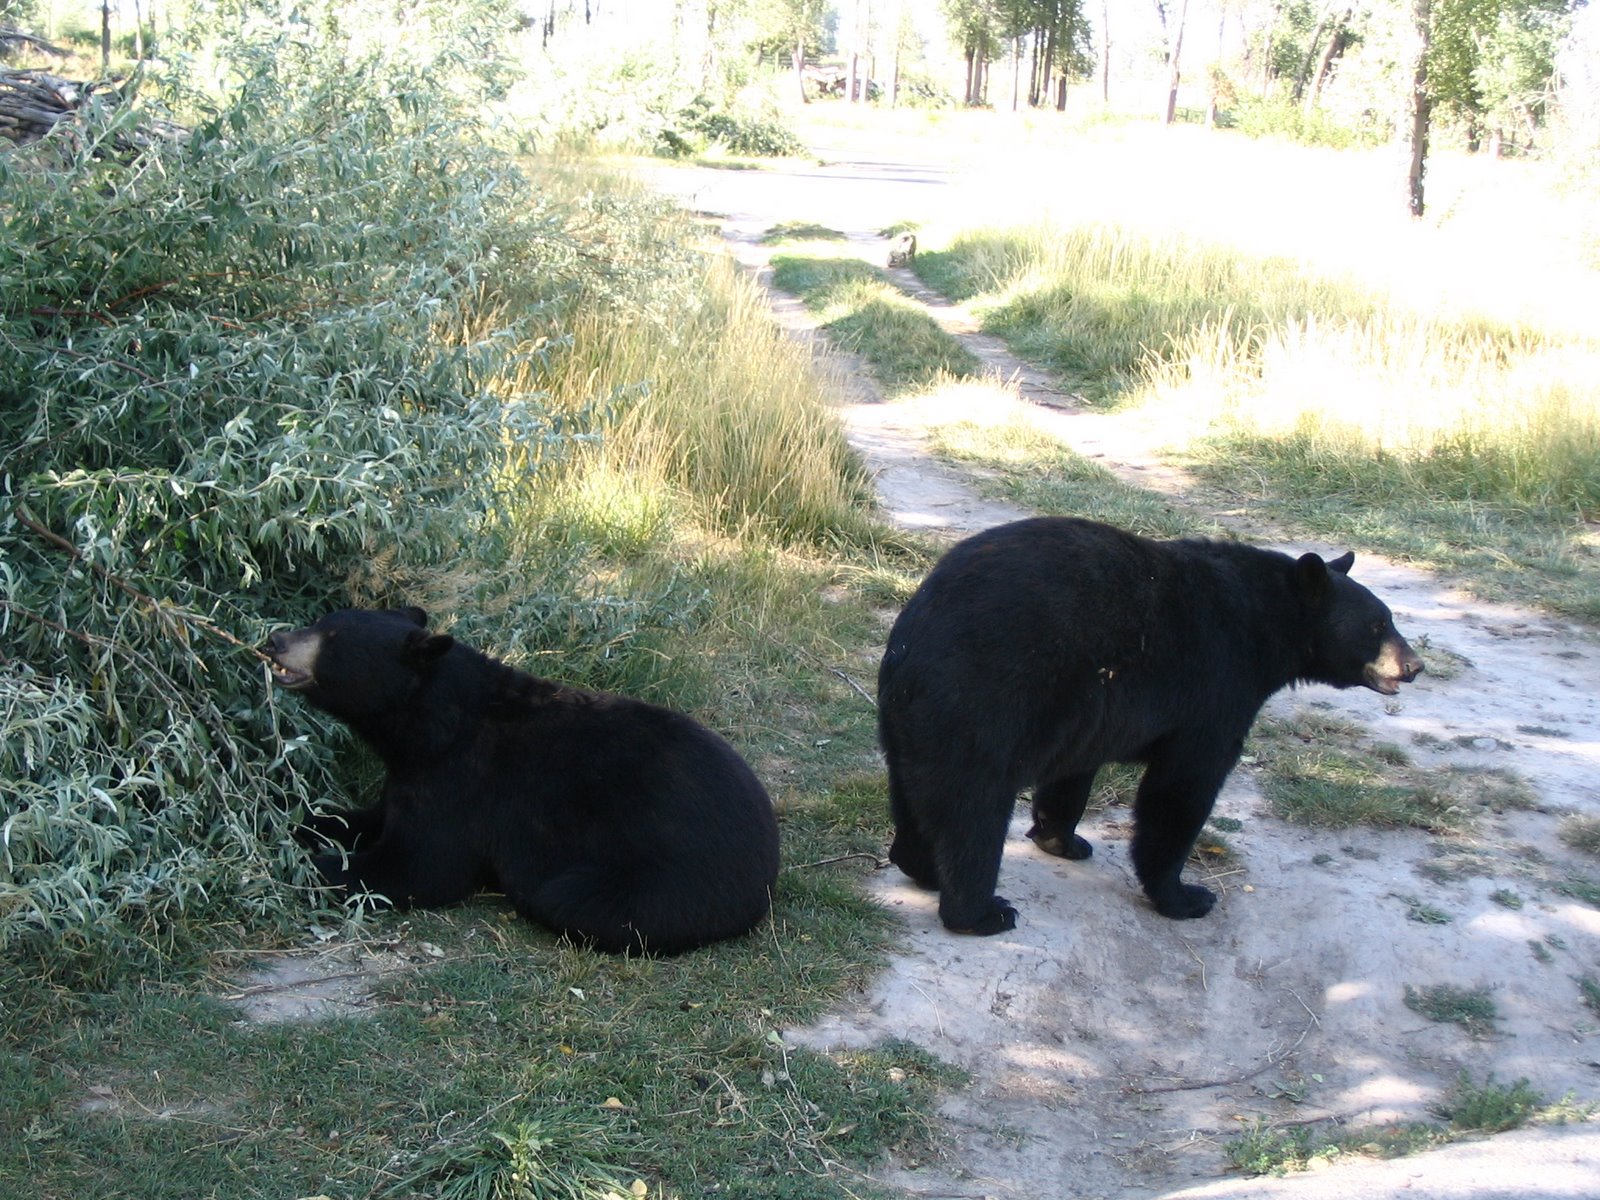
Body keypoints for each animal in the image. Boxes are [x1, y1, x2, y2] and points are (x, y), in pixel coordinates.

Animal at [265, 607, 780, 955]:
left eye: (332, 638)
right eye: (320, 620)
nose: (275, 639)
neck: (435, 724)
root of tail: (769, 862)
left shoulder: (466, 780)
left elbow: (420, 865)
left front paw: (307, 870)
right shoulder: (412, 773)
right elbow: (365, 818)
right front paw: (288, 831)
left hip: (670, 880)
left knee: (569, 898)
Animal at [876, 516, 1424, 935]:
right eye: (1378, 624)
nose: (1414, 666)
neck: (1265, 622)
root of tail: (913, 640)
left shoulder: (1089, 710)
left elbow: (1073, 774)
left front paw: (1064, 840)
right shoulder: (1217, 683)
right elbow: (1182, 789)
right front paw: (1185, 896)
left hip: (914, 722)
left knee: (917, 794)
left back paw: (923, 868)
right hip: (987, 704)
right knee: (974, 808)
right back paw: (982, 912)